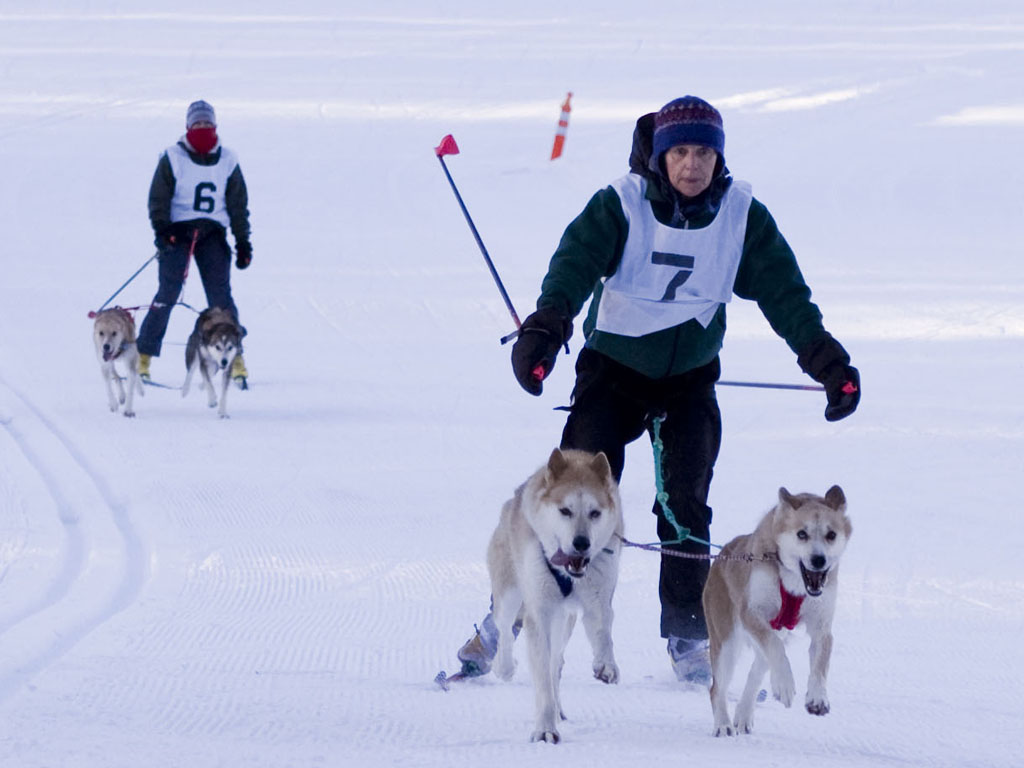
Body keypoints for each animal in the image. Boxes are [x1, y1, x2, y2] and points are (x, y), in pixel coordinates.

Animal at [487, 450, 622, 745]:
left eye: (594, 513)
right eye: (565, 511)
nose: (582, 542)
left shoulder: (599, 599)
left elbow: (603, 632)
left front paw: (605, 665)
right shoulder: (539, 612)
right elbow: (542, 681)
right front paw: (545, 730)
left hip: (564, 622)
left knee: (555, 663)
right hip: (510, 593)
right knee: (504, 628)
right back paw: (504, 666)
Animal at [700, 487, 851, 741]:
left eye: (831, 535)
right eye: (801, 534)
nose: (818, 560)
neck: (796, 584)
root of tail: (722, 555)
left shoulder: (821, 626)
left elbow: (821, 661)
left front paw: (817, 697)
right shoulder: (752, 614)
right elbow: (775, 647)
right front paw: (786, 686)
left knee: (756, 671)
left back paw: (744, 714)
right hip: (726, 641)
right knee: (717, 688)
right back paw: (723, 723)